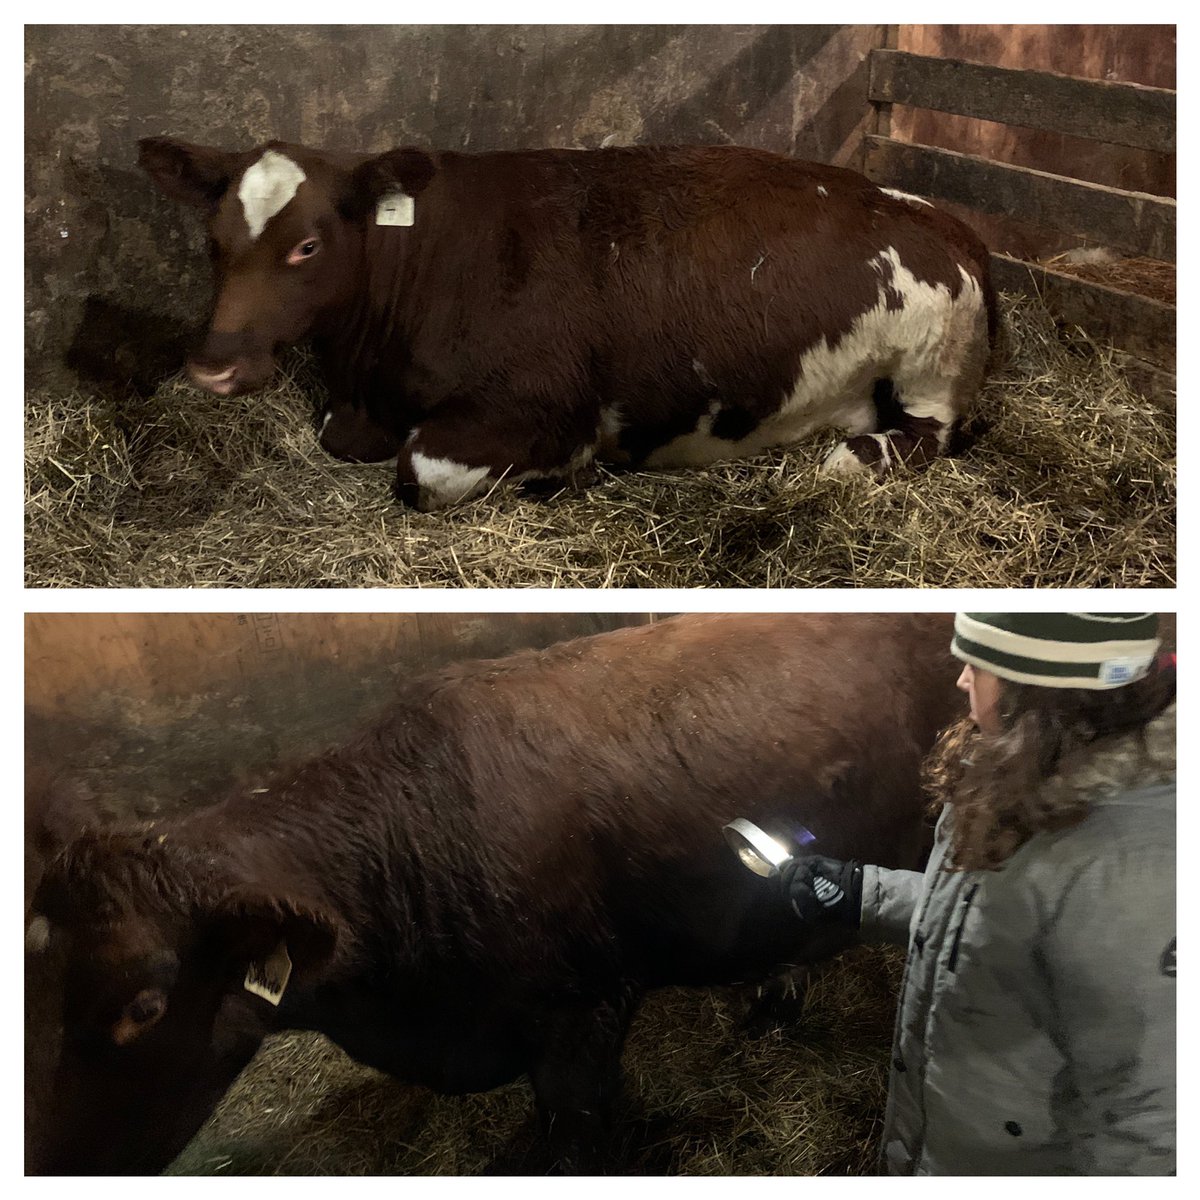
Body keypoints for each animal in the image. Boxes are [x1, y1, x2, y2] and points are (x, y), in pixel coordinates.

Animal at [136, 139, 996, 510]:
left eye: (308, 245)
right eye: (213, 238)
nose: (214, 364)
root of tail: (946, 221)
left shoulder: (540, 408)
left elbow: (420, 470)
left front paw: (558, 478)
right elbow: (339, 436)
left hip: (931, 363)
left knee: (925, 435)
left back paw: (850, 458)